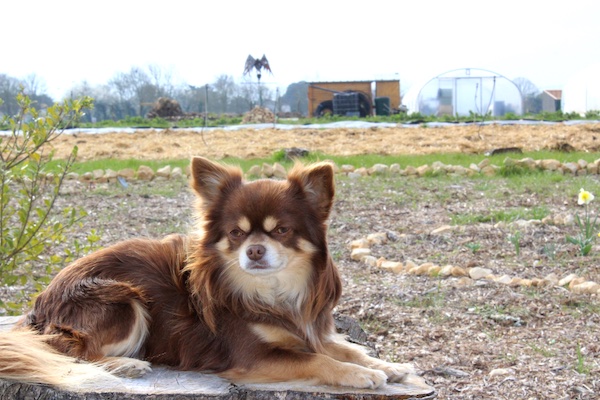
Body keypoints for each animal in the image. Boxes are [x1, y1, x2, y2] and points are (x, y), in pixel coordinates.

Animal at [0, 156, 412, 390]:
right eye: (236, 233)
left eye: (281, 230)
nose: (255, 250)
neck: (273, 291)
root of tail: (38, 304)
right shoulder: (252, 356)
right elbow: (320, 360)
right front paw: (361, 375)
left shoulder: (310, 332)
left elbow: (347, 349)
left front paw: (388, 366)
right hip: (122, 299)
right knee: (67, 350)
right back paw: (125, 364)